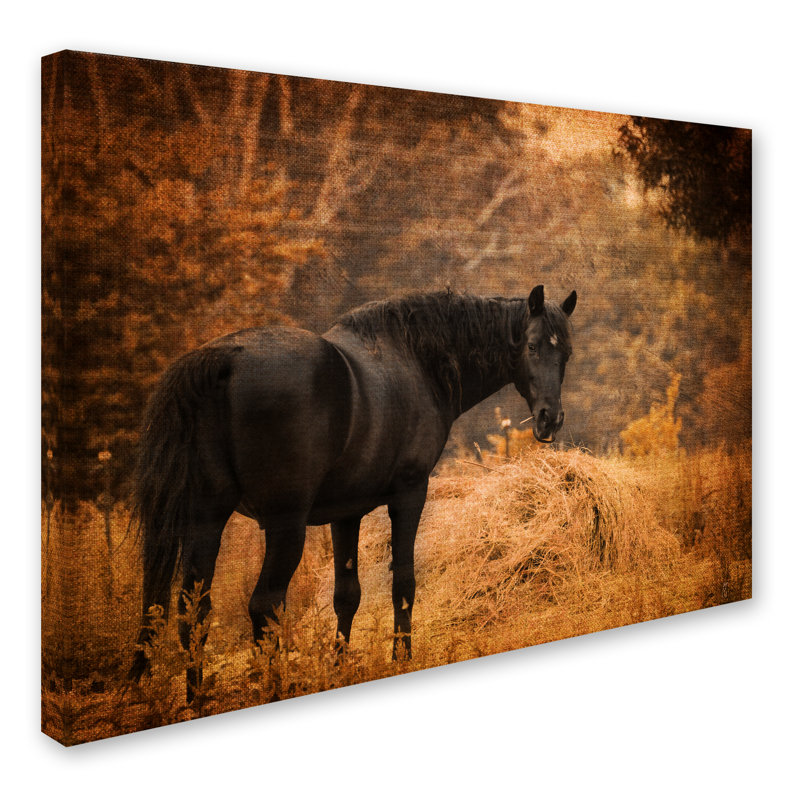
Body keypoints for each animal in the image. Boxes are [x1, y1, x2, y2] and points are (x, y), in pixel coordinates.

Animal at [129, 285, 577, 701]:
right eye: (532, 346)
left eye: (567, 354)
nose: (550, 419)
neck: (417, 362)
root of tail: (226, 358)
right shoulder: (409, 494)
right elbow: (403, 584)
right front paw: (401, 658)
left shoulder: (345, 513)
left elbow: (347, 596)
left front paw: (339, 666)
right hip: (284, 526)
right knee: (264, 606)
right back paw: (270, 687)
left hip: (207, 519)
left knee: (192, 609)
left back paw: (196, 698)